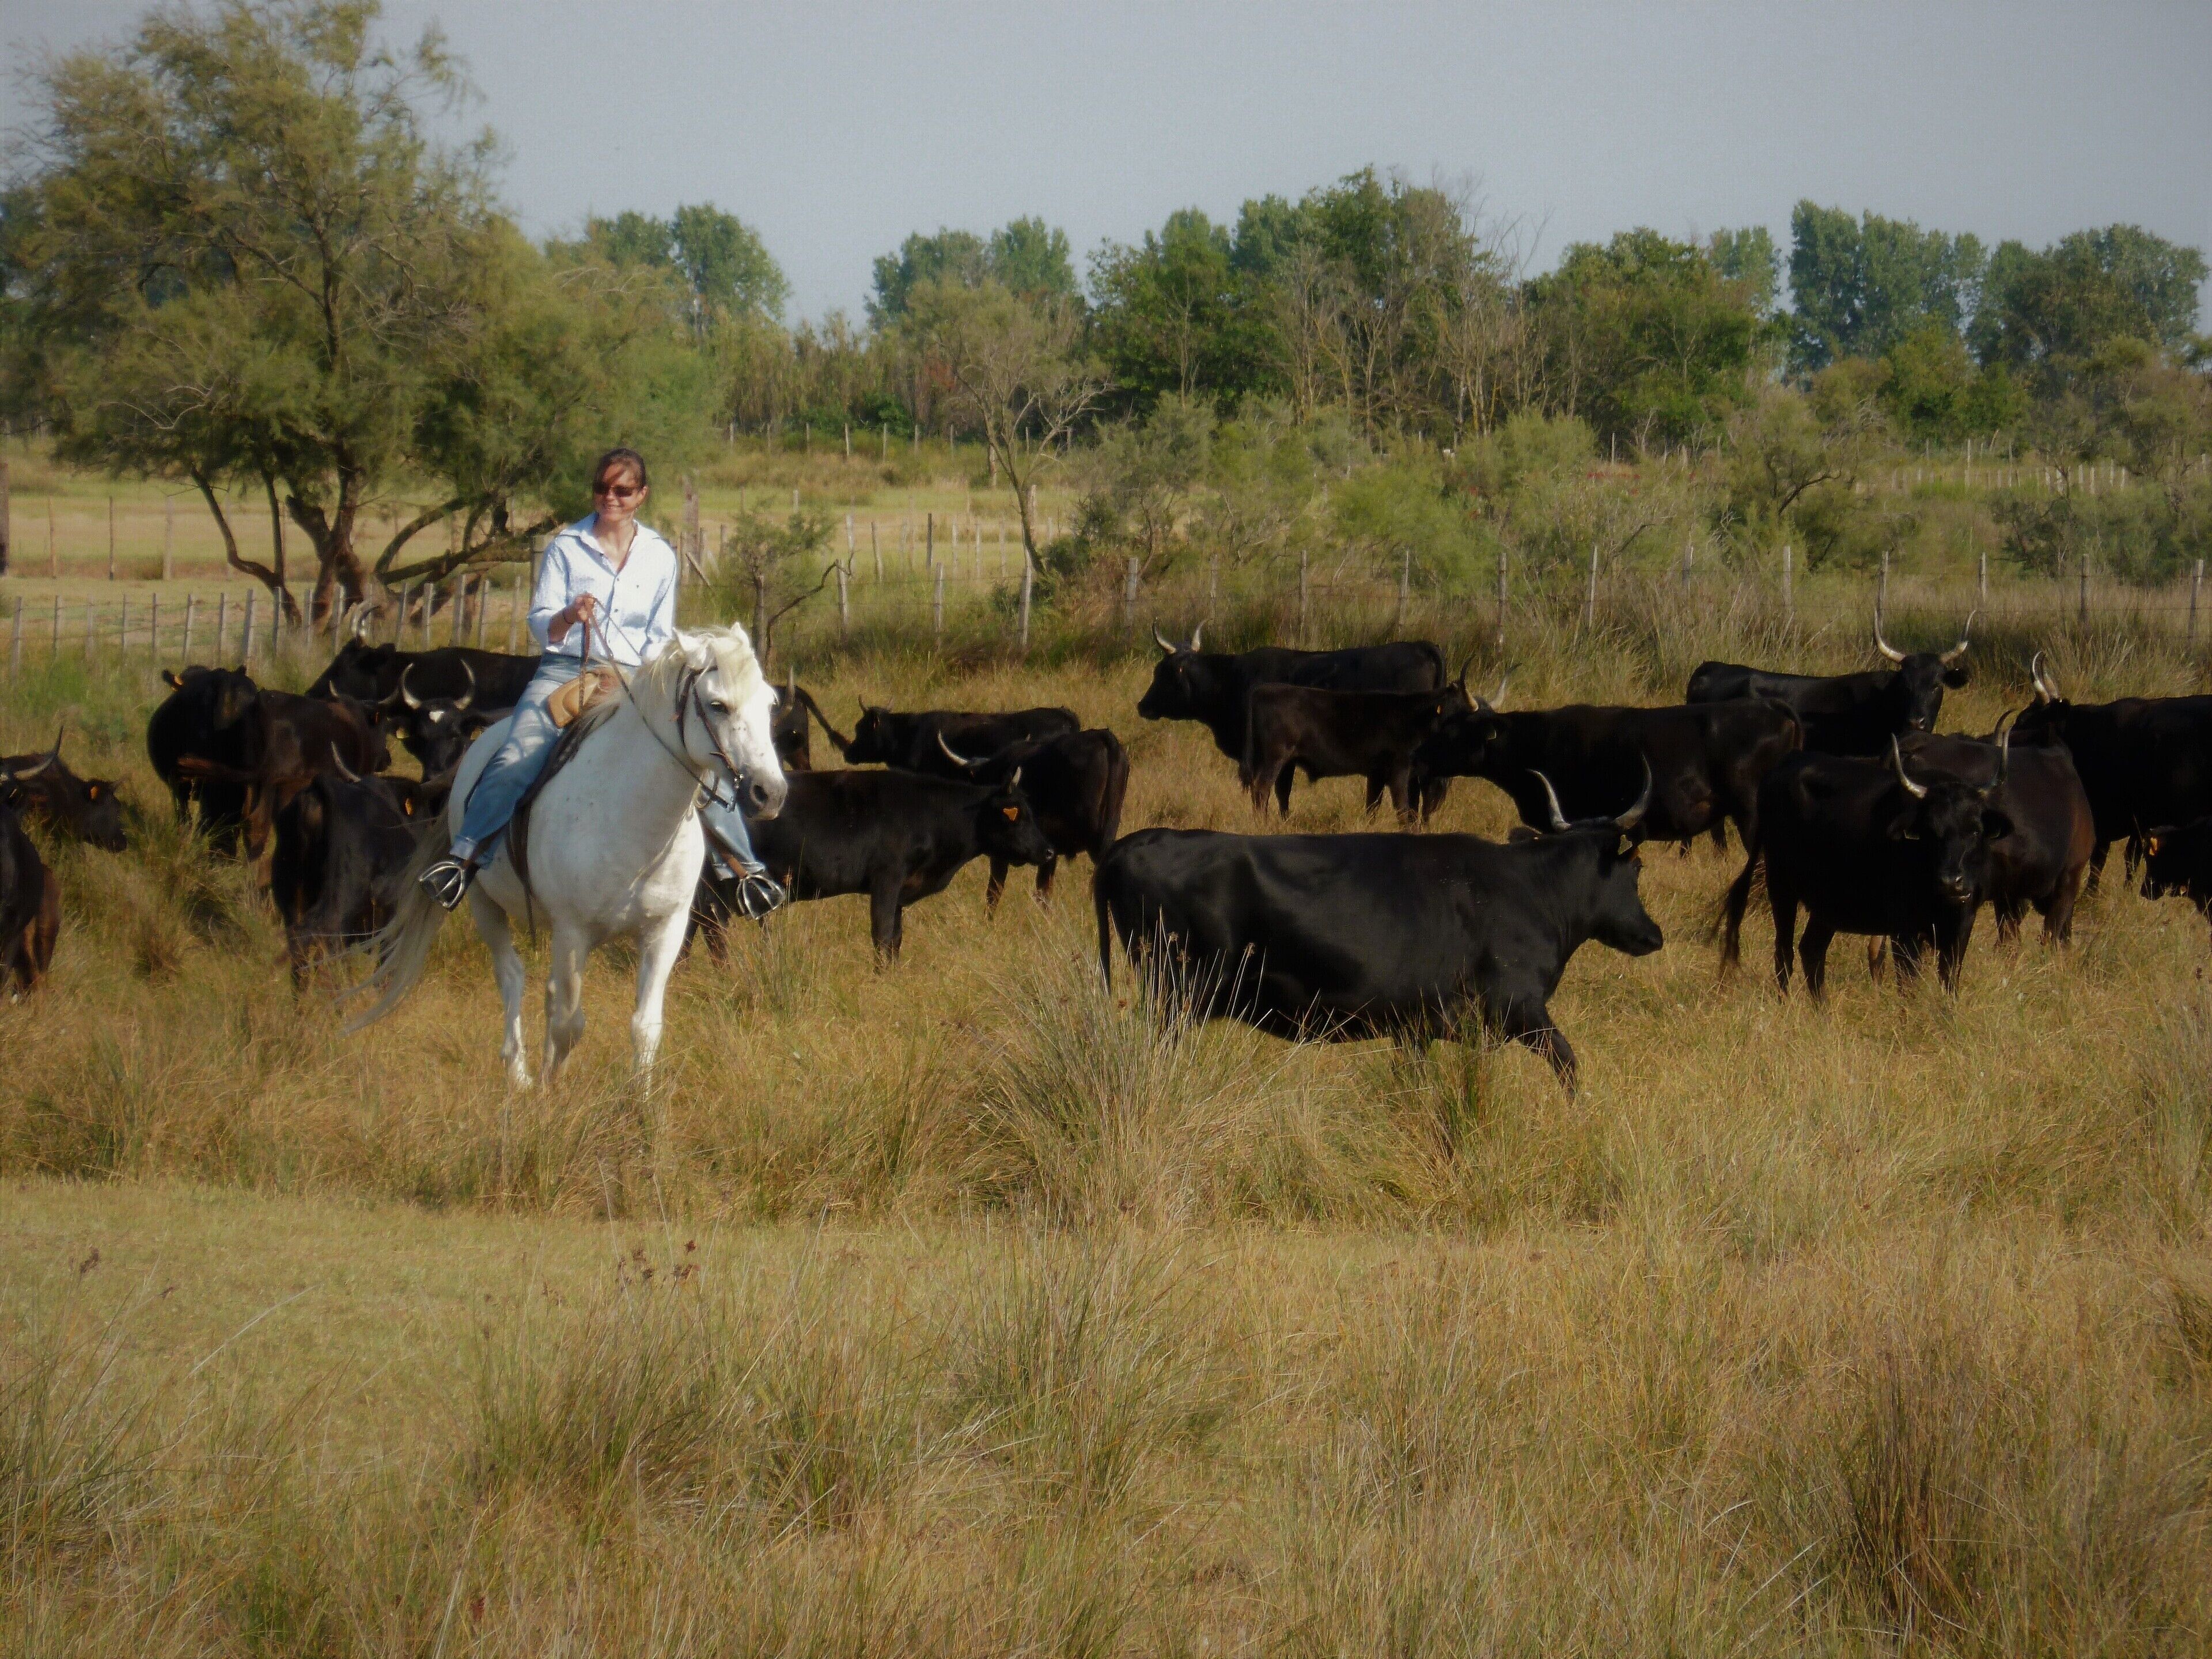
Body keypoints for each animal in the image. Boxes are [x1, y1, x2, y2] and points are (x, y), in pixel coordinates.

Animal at [349, 626, 787, 1085]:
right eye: (718, 705)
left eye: (769, 703)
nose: (770, 794)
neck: (635, 822)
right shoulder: (573, 931)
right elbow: (569, 1024)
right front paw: (549, 1085)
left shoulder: (665, 930)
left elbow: (645, 1027)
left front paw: (640, 1099)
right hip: (485, 905)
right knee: (512, 976)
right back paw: (519, 1074)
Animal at [696, 767, 1057, 960]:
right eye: (1018, 815)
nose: (1049, 851)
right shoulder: (887, 880)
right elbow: (882, 935)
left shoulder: (900, 892)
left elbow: (896, 938)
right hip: (715, 892)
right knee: (714, 936)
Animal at [1092, 768, 1661, 1092]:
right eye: (1636, 869)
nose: (1654, 934)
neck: (1529, 890)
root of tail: (1131, 845)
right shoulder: (1521, 1008)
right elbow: (1568, 1064)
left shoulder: (1416, 1028)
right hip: (1179, 991)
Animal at [1241, 678, 1473, 821]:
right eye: (1454, 713)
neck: (1416, 717)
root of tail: (1264, 689)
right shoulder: (1399, 769)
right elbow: (1402, 805)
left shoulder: (1377, 773)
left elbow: (1372, 805)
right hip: (1275, 758)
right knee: (1261, 788)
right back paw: (1263, 823)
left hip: (1286, 763)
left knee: (1280, 791)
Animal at [1720, 733, 2014, 996]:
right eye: (1930, 831)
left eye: (1975, 830)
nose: (1951, 882)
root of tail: (1786, 764)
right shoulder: (1904, 930)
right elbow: (1908, 985)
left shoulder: (1962, 924)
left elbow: (1950, 983)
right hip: (1781, 885)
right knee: (1784, 951)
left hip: (1826, 904)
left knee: (1811, 950)